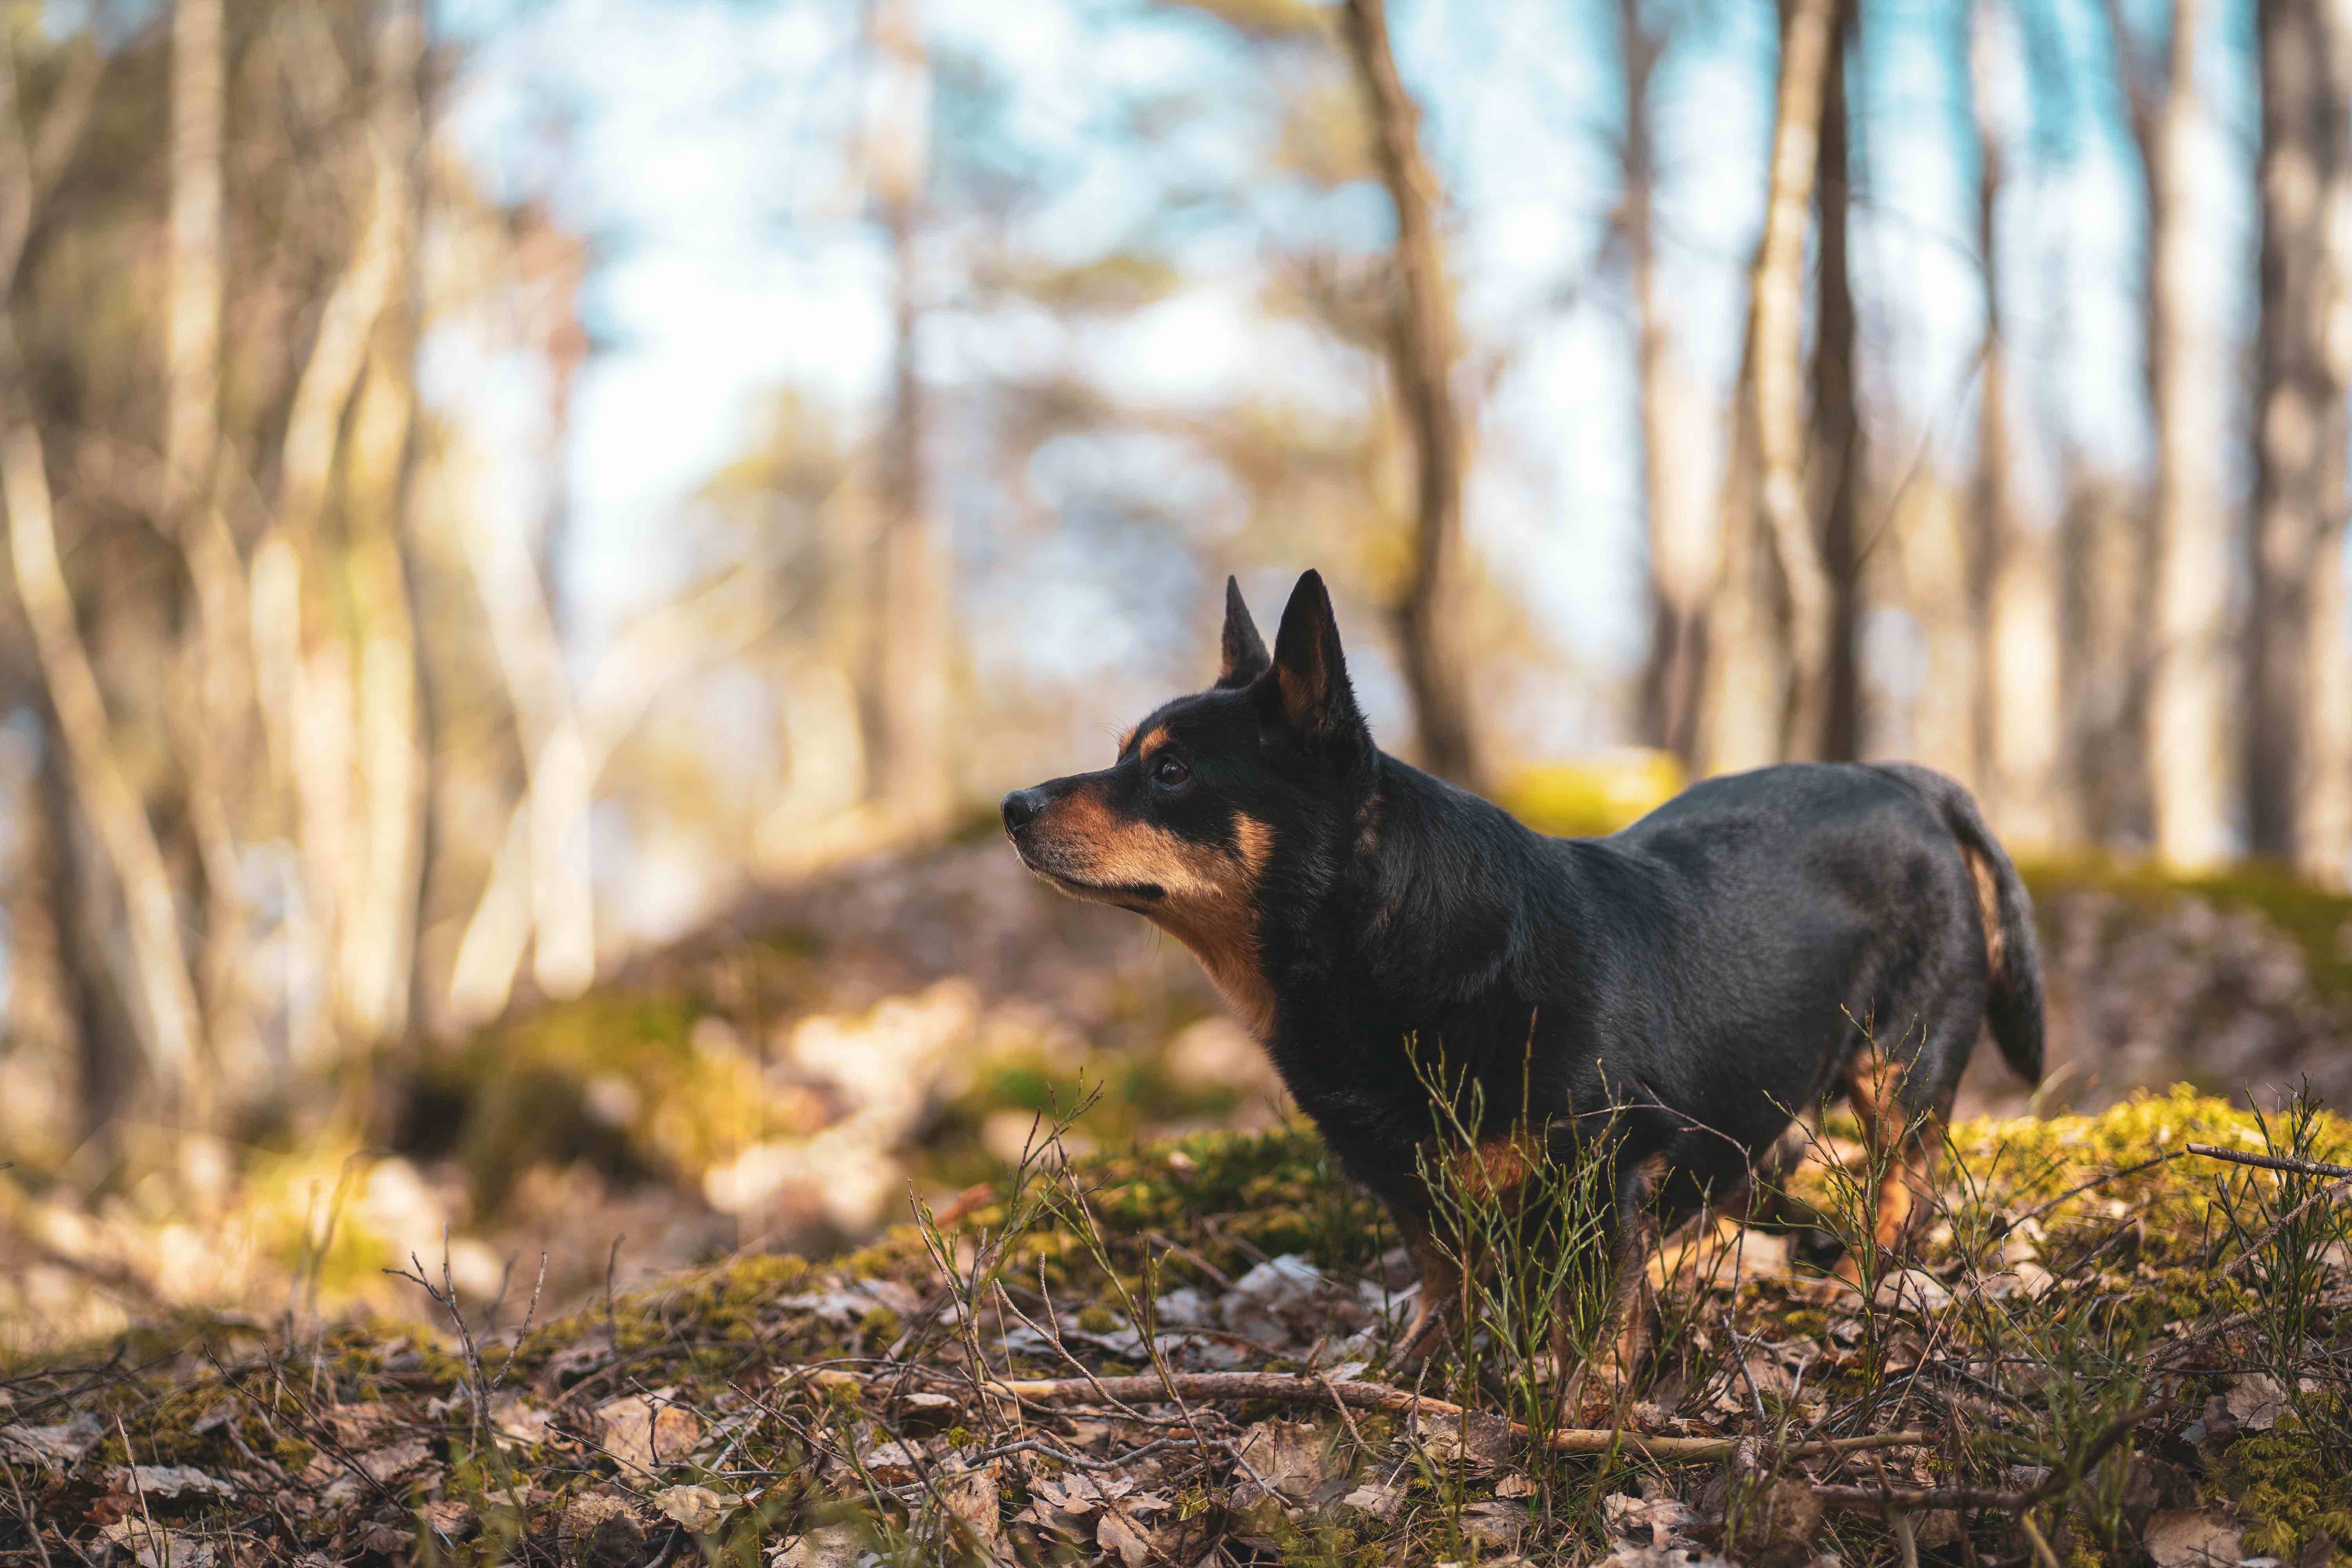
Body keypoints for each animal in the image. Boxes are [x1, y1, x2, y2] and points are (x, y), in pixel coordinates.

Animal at [993, 571, 2042, 1401]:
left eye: (1169, 770)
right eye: (1126, 754)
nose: (1010, 804)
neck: (1392, 943)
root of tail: (1902, 780)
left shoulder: (1607, 1172)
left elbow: (1602, 1314)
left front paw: (1586, 1411)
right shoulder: (1411, 1186)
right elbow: (1445, 1279)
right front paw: (1415, 1374)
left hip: (1901, 1070)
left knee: (1902, 1189)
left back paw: (1870, 1285)